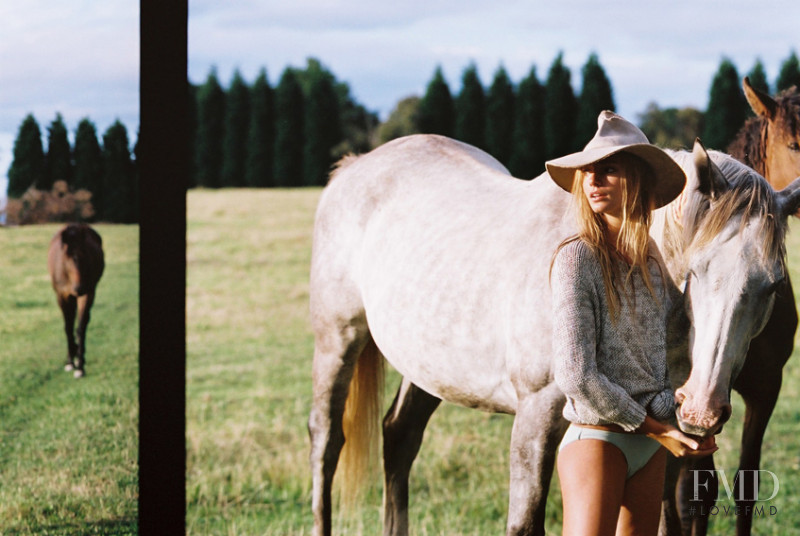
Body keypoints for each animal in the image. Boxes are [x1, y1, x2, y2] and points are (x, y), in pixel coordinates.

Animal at [47, 222, 104, 376]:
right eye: (66, 258)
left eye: (85, 256)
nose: (79, 288)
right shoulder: (62, 296)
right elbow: (68, 327)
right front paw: (70, 362)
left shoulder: (87, 294)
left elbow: (80, 328)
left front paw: (80, 366)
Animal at [308, 134, 800, 536]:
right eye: (697, 271)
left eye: (774, 285)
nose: (702, 409)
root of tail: (355, 165)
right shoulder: (537, 415)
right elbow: (525, 523)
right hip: (337, 340)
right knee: (326, 442)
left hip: (429, 365)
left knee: (400, 436)